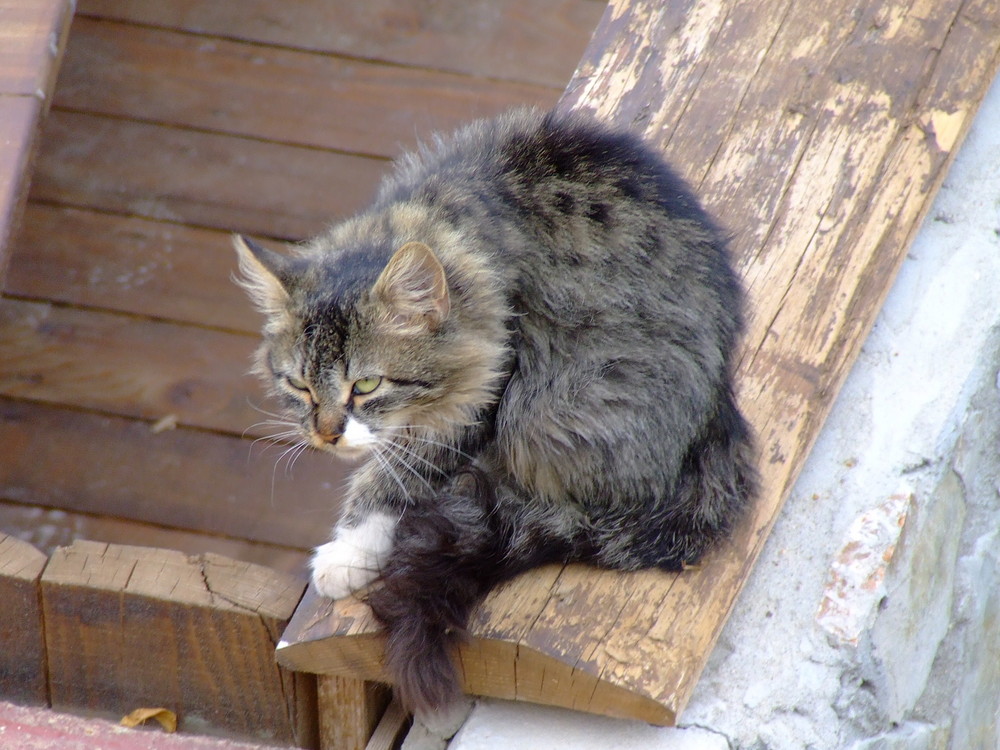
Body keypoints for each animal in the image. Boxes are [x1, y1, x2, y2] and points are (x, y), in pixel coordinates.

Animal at [234, 108, 752, 720]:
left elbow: (396, 473)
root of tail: (719, 413)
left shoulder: (488, 391)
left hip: (550, 408)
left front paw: (348, 549)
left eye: (366, 385)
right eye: (300, 386)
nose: (327, 436)